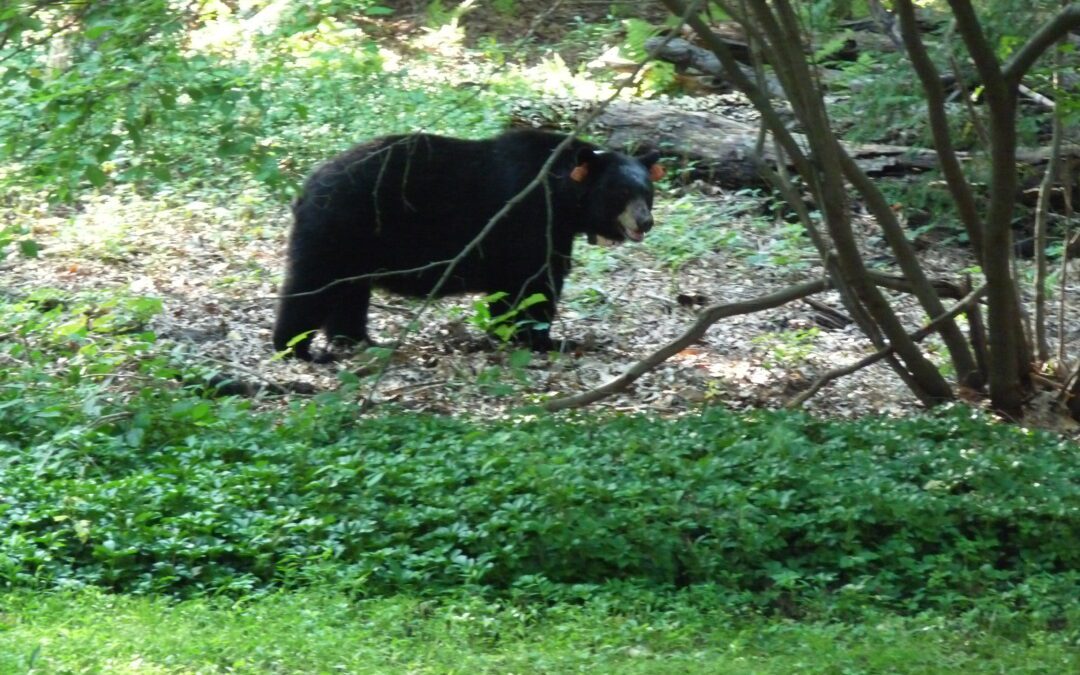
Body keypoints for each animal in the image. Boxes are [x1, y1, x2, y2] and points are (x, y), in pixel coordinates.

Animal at [272, 129, 663, 362]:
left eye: (647, 192)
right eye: (620, 193)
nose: (644, 221)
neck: (560, 193)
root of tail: (307, 188)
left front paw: (510, 335)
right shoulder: (530, 220)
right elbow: (535, 284)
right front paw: (546, 340)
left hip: (355, 246)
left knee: (349, 293)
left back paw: (359, 342)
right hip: (338, 228)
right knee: (310, 286)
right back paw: (296, 348)